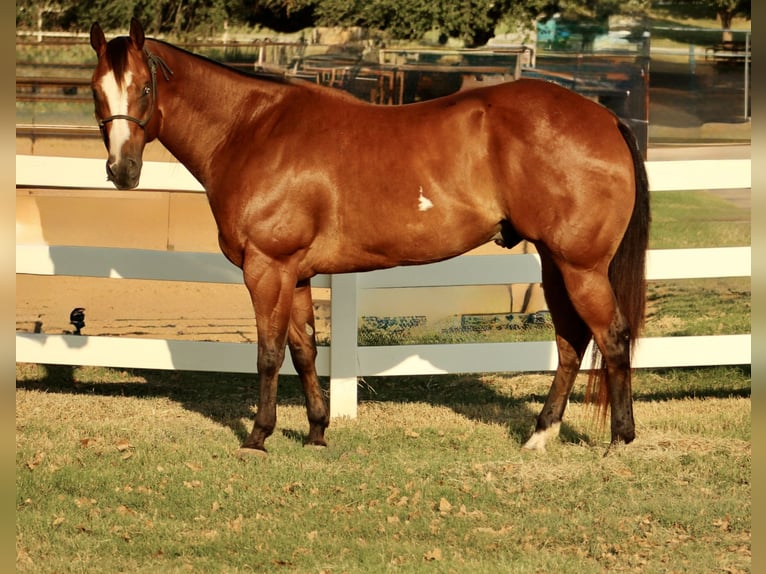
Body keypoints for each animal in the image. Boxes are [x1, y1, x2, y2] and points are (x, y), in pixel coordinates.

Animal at [89, 19, 649, 454]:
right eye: (97, 90)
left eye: (144, 88)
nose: (122, 170)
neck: (252, 130)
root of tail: (604, 116)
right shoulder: (295, 273)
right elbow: (304, 351)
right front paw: (316, 432)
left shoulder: (266, 268)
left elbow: (269, 353)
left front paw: (258, 436)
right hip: (556, 264)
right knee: (571, 341)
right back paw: (540, 435)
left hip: (579, 266)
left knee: (612, 336)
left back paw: (620, 439)